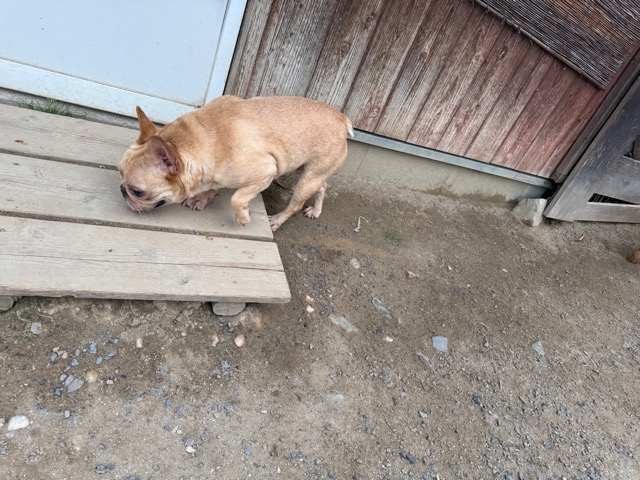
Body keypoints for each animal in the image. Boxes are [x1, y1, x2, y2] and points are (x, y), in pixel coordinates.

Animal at [118, 95, 353, 231]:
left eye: (137, 192)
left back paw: (277, 220)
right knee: (322, 186)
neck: (206, 139)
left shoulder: (266, 171)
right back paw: (316, 210)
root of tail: (341, 119)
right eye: (119, 172)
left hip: (306, 180)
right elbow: (214, 187)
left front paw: (242, 218)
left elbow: (236, 198)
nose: (121, 190)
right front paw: (203, 197)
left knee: (296, 204)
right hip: (310, 170)